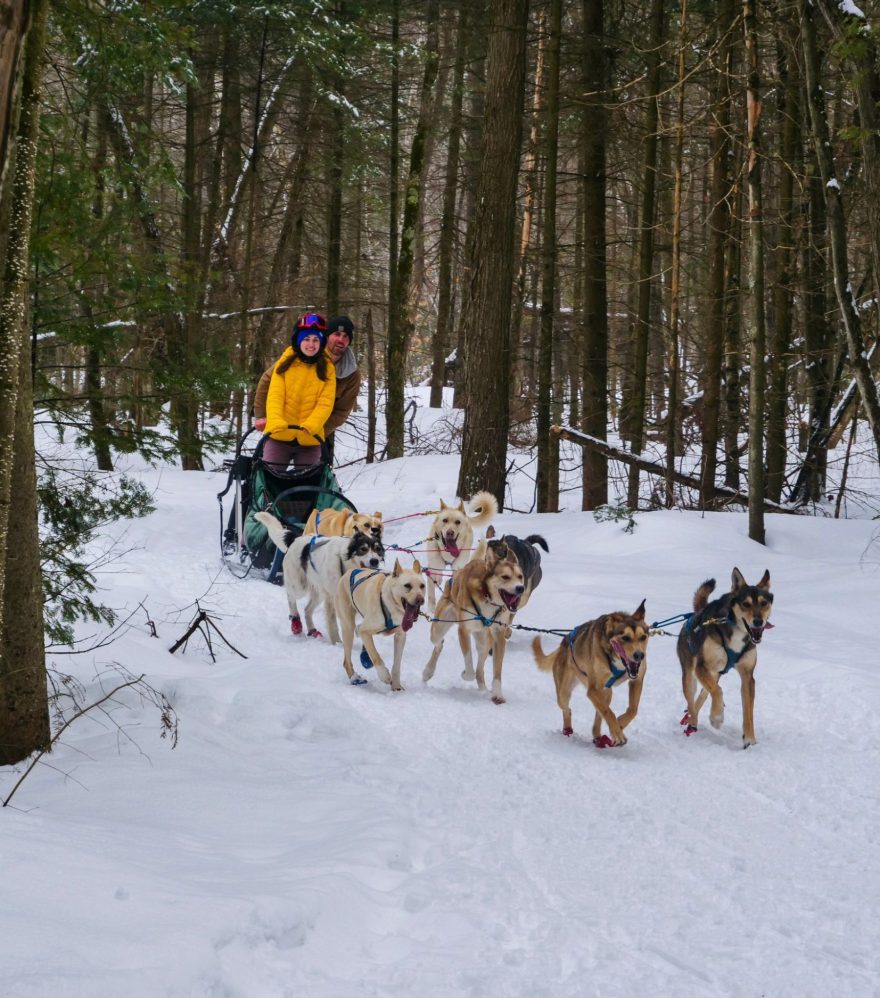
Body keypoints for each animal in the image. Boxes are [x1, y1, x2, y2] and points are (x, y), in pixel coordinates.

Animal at [251, 512, 382, 644]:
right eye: (363, 549)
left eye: (378, 549)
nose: (374, 561)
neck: (345, 564)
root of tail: (296, 539)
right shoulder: (331, 599)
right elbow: (333, 624)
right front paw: (337, 643)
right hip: (299, 586)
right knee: (290, 596)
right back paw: (295, 620)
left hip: (318, 593)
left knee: (307, 610)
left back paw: (312, 630)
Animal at [334, 560, 426, 692]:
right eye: (407, 585)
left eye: (422, 586)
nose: (420, 600)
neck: (390, 603)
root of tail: (350, 571)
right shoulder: (365, 631)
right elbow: (376, 656)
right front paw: (385, 676)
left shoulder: (400, 636)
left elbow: (397, 665)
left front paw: (396, 686)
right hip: (348, 628)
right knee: (347, 660)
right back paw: (355, 678)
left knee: (358, 629)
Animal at [424, 540, 524, 704]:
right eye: (505, 577)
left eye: (520, 576)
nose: (520, 588)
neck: (487, 596)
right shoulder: (463, 631)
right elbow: (469, 664)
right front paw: (465, 673)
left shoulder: (499, 635)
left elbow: (497, 670)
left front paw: (498, 693)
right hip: (438, 629)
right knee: (439, 644)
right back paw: (427, 672)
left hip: (485, 641)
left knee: (480, 670)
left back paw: (483, 689)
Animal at [528, 596, 648, 748]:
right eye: (625, 638)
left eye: (643, 637)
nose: (640, 655)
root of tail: (563, 643)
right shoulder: (593, 689)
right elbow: (608, 712)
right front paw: (617, 732)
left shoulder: (637, 680)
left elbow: (632, 709)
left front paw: (619, 724)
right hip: (564, 693)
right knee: (568, 710)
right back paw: (568, 730)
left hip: (606, 692)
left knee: (599, 713)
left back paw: (597, 736)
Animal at [676, 572, 772, 752]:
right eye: (745, 604)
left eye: (764, 603)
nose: (758, 621)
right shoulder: (701, 667)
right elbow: (718, 691)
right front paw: (717, 718)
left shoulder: (748, 676)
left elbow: (748, 712)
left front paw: (749, 739)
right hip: (690, 675)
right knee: (694, 698)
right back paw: (692, 721)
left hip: (714, 673)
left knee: (704, 693)